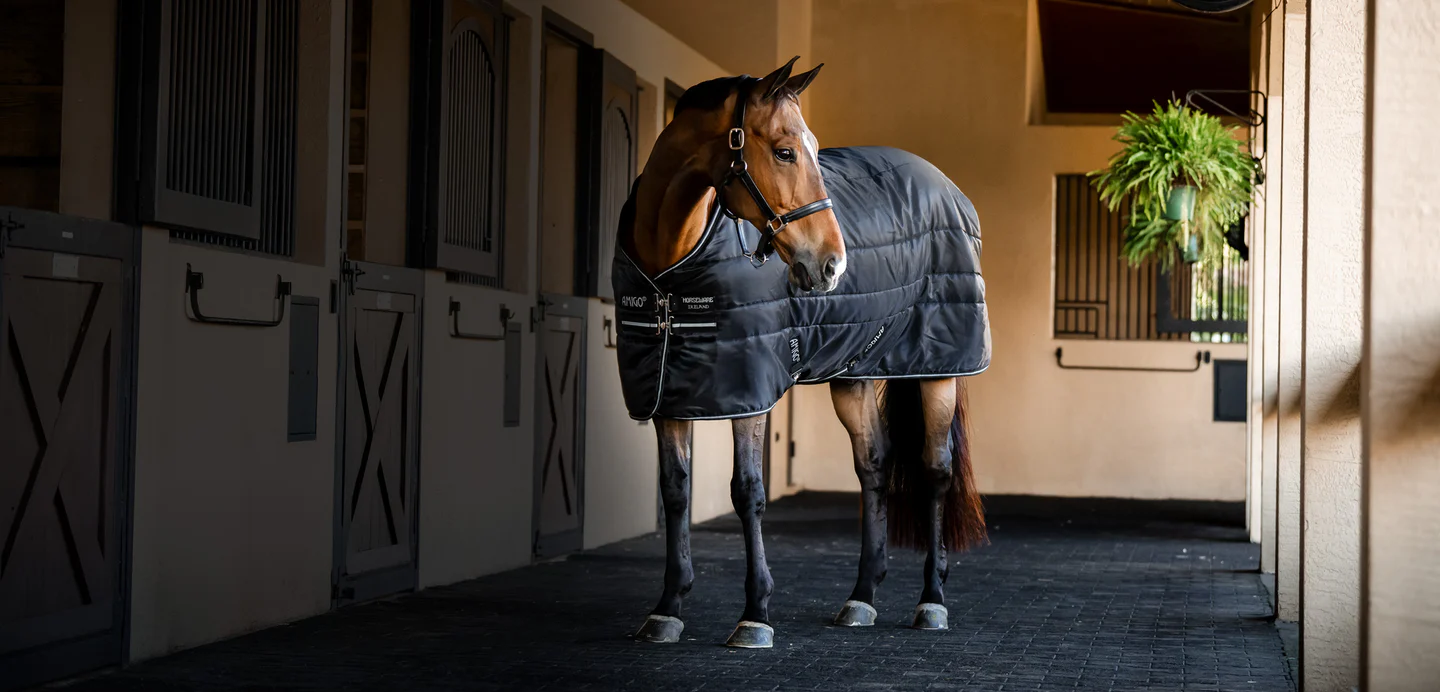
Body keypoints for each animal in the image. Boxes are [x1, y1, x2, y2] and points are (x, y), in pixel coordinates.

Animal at [612, 56, 991, 649]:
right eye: (786, 151)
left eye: (812, 147)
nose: (832, 264)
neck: (669, 272)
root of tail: (949, 188)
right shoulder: (670, 393)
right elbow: (675, 491)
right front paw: (667, 608)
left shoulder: (748, 393)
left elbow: (748, 491)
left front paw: (755, 615)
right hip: (855, 374)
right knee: (873, 465)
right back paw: (861, 597)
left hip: (938, 370)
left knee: (935, 470)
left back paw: (931, 601)